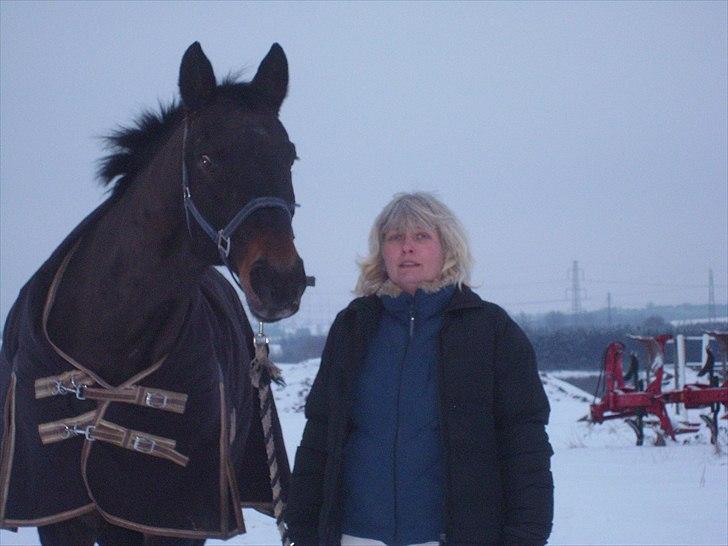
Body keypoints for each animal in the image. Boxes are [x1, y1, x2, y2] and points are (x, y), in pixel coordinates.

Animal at [0, 43, 308, 544]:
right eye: (206, 159)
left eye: (289, 156)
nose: (280, 280)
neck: (110, 332)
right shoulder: (62, 517)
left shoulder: (169, 520)